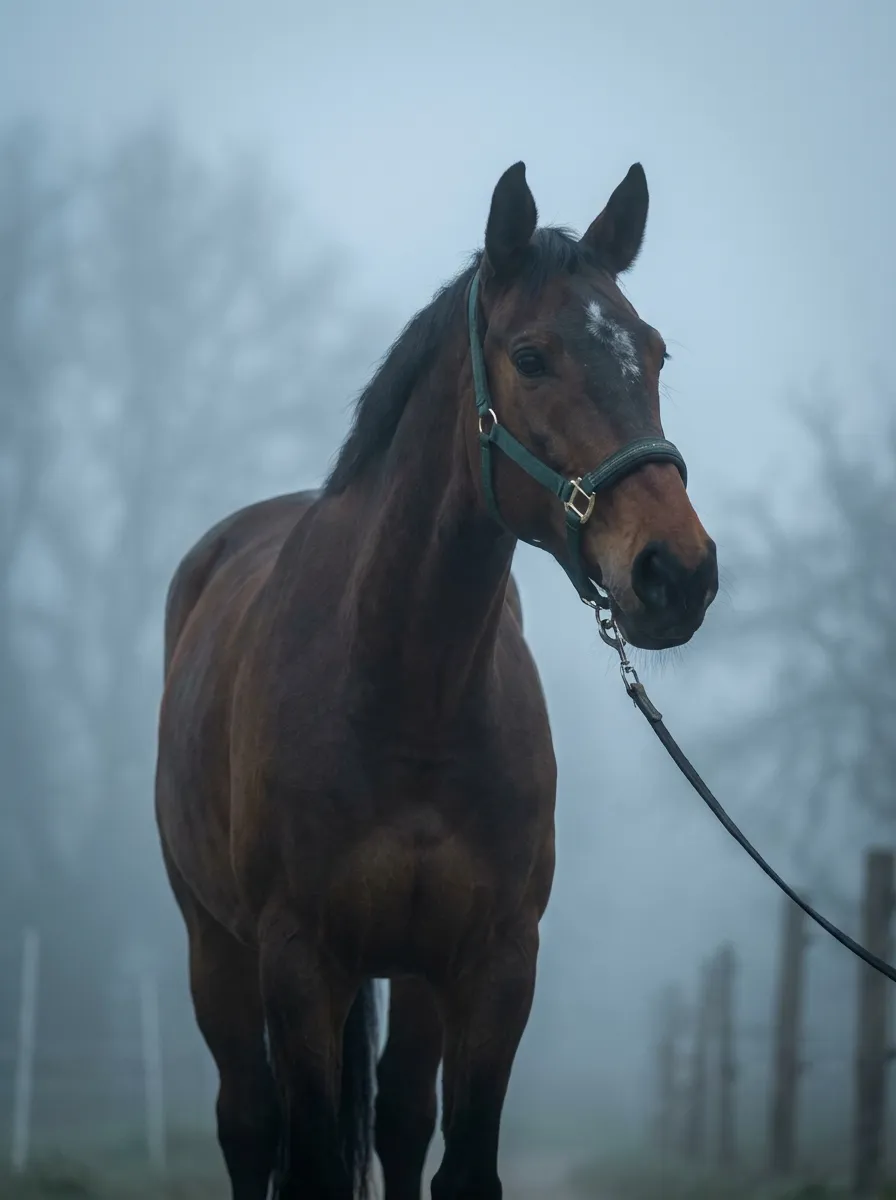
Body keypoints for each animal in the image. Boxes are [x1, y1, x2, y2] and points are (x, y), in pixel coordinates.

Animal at [155, 160, 718, 1200]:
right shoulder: (300, 962)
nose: (678, 572)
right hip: (215, 946)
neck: (404, 692)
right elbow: (310, 1163)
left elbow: (461, 1163)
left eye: (656, 353)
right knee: (249, 1125)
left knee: (403, 1119)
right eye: (531, 357)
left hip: (411, 977)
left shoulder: (496, 963)